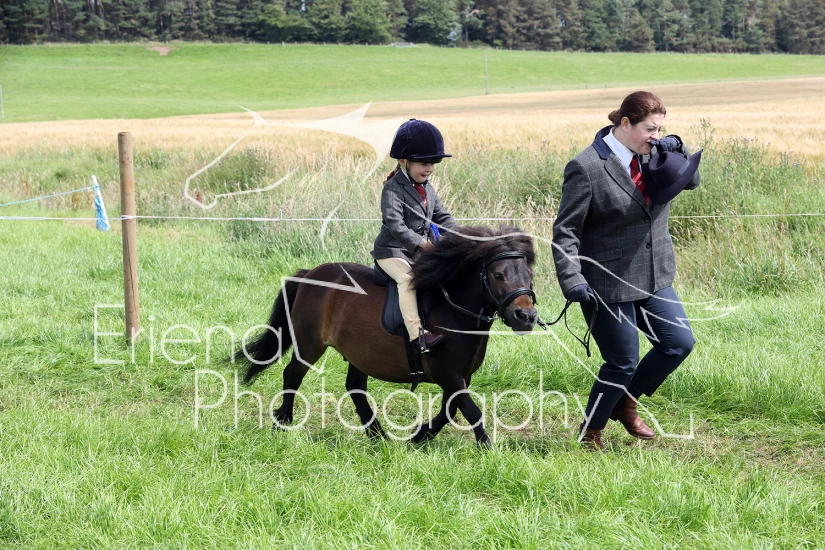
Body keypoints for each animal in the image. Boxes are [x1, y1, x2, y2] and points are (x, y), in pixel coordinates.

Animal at [233, 226, 538, 446]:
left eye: (529, 275)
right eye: (498, 275)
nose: (526, 317)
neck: (454, 310)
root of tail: (311, 274)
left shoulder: (461, 376)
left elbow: (450, 410)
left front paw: (419, 436)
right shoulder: (448, 374)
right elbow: (470, 410)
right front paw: (487, 447)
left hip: (358, 352)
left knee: (355, 387)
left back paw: (377, 435)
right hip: (309, 344)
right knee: (293, 375)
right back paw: (283, 421)